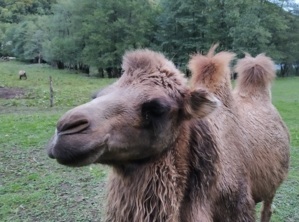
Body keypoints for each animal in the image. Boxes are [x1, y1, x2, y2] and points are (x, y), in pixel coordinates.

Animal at [47, 47, 290, 221]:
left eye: (157, 108)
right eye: (97, 95)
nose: (65, 130)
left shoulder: (239, 209)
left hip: (273, 186)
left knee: (268, 208)